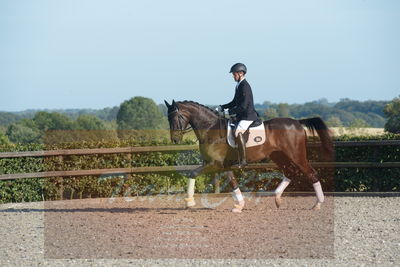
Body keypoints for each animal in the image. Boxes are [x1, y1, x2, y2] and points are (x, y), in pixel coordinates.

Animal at [164, 99, 332, 213]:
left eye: (175, 117)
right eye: (168, 118)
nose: (175, 140)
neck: (210, 128)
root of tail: (297, 123)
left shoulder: (214, 163)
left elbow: (193, 173)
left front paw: (189, 202)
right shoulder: (223, 165)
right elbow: (233, 183)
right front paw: (239, 205)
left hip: (296, 155)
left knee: (311, 173)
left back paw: (318, 204)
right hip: (278, 156)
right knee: (290, 172)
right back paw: (277, 198)